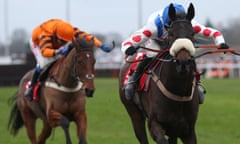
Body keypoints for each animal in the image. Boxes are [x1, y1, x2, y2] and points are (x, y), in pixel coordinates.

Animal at [119, 3, 200, 144]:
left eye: (192, 33)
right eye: (171, 34)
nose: (183, 62)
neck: (179, 92)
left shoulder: (188, 131)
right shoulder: (154, 124)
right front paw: (130, 47)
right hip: (134, 114)